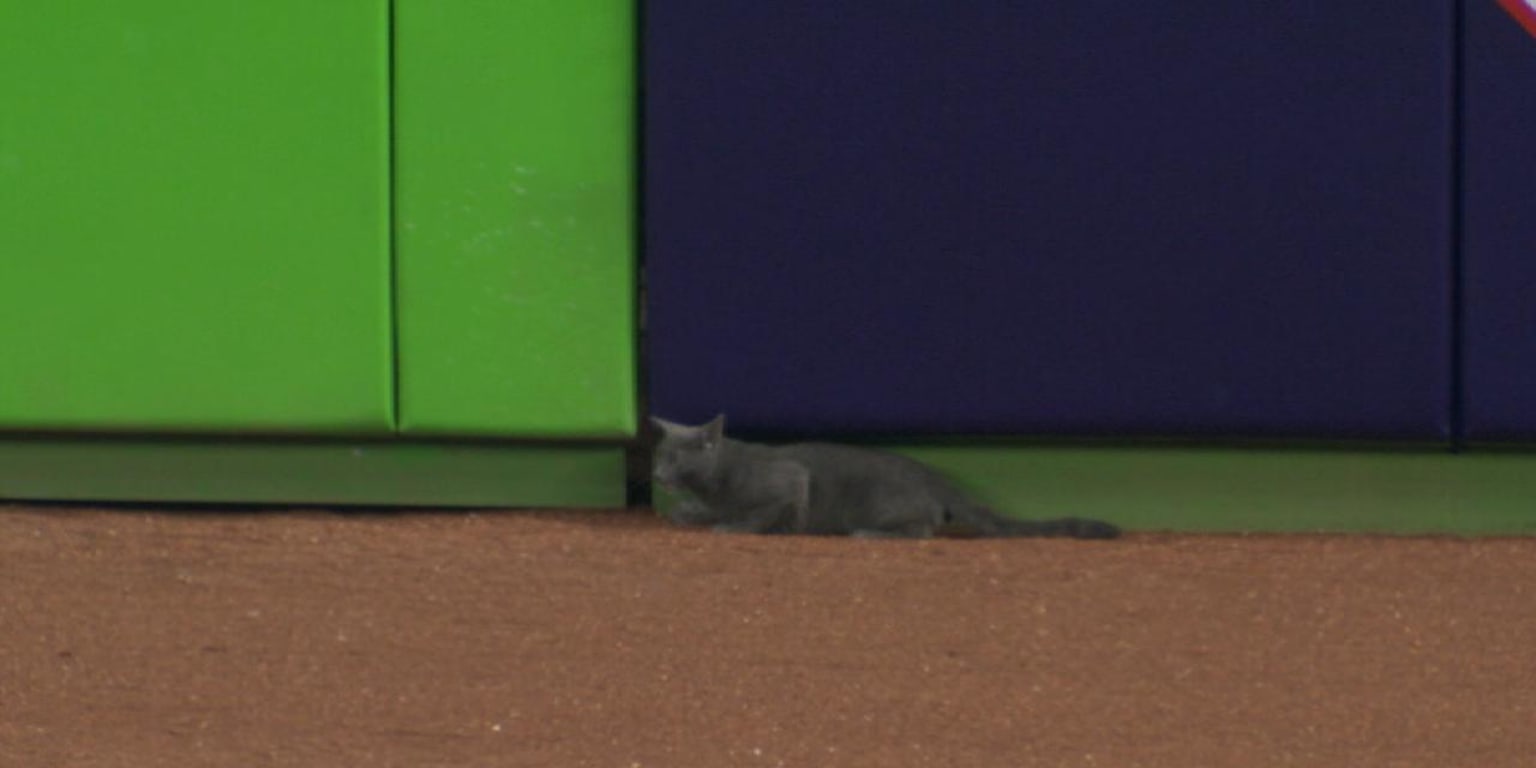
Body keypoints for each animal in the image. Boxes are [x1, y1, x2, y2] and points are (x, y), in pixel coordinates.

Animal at [648, 414, 1118, 540]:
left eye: (676, 459)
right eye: (659, 457)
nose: (656, 474)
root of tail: (934, 476)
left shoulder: (791, 480)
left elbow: (763, 511)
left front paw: (734, 526)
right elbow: (697, 511)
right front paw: (691, 514)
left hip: (879, 503)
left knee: (924, 529)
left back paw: (870, 535)